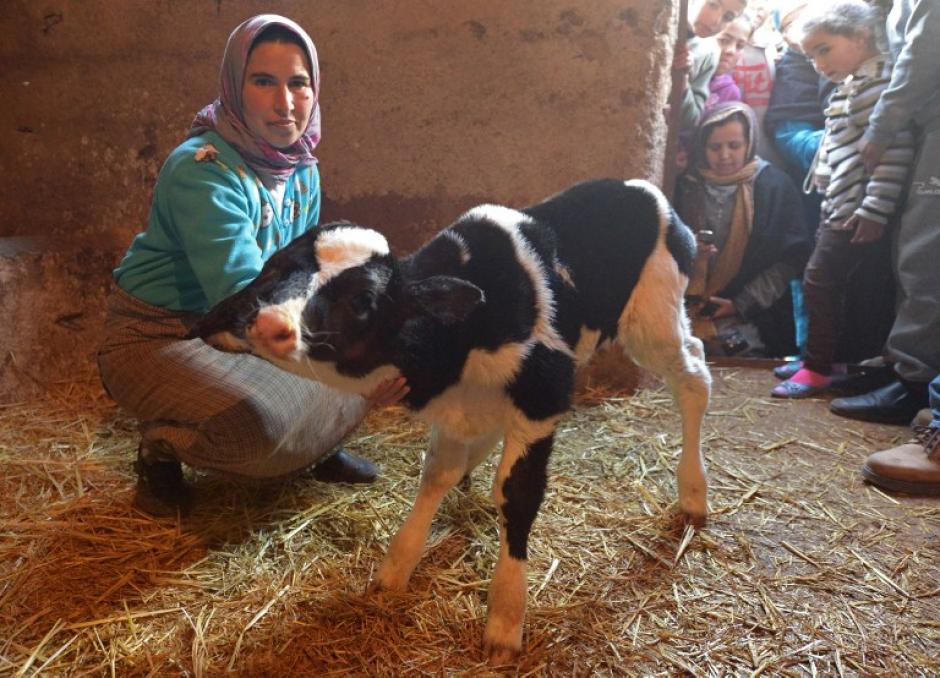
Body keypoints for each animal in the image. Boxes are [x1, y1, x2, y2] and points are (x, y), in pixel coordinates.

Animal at [191, 179, 708, 664]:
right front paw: (396, 568)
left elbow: (517, 494)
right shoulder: (457, 408)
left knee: (695, 373)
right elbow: (436, 474)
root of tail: (641, 188)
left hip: (652, 322)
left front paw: (505, 619)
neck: (457, 349)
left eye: (363, 301)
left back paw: (694, 494)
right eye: (276, 267)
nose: (269, 323)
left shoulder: (543, 396)